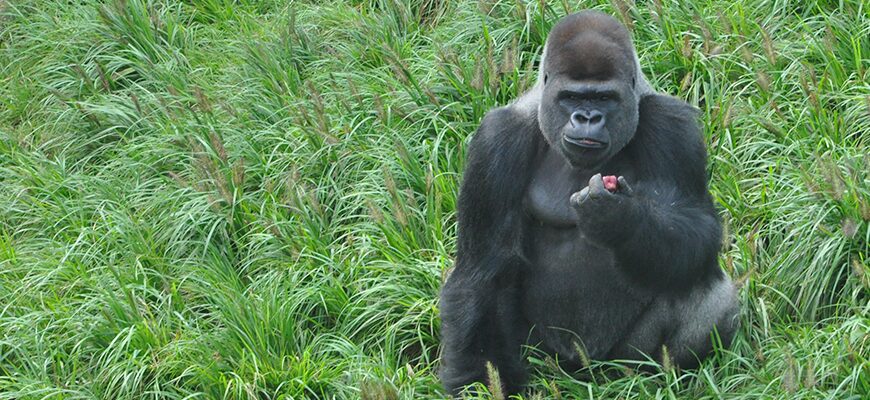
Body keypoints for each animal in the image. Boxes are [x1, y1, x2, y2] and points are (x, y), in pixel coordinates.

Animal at [442, 10, 744, 396]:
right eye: (571, 97)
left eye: (604, 99)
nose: (587, 118)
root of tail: (585, 372)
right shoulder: (497, 140)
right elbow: (483, 272)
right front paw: (478, 384)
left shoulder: (673, 125)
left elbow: (698, 229)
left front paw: (621, 219)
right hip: (544, 357)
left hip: (624, 360)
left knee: (702, 288)